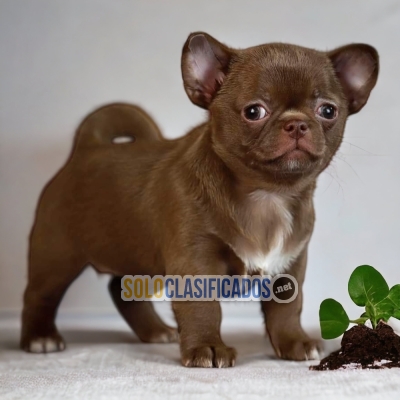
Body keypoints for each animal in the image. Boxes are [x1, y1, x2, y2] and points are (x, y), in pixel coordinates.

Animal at [21, 32, 378, 368]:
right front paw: (208, 348)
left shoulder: (290, 262)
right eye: (254, 111)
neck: (267, 194)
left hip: (137, 252)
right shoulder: (195, 260)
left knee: (122, 292)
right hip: (57, 254)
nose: (297, 123)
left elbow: (286, 308)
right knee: (40, 294)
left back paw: (155, 332)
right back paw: (40, 338)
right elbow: (203, 309)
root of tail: (87, 149)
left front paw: (294, 343)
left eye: (328, 110)